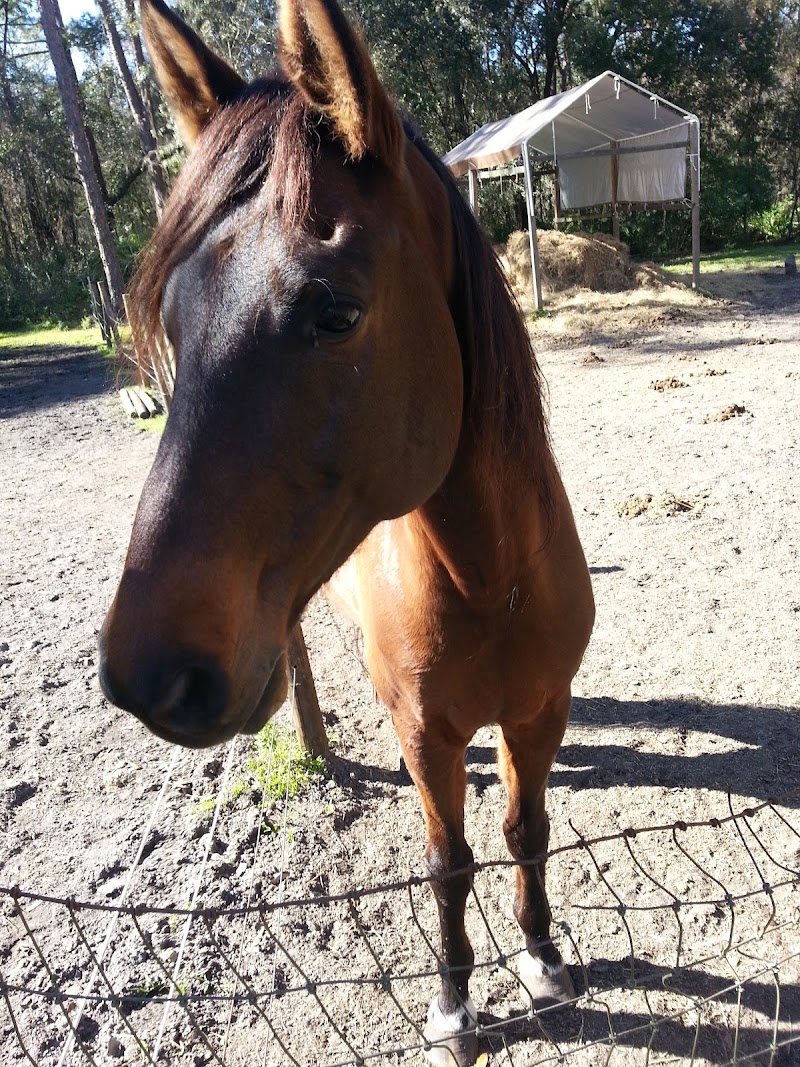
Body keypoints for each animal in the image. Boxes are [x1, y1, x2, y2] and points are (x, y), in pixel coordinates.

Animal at [98, 1, 595, 1062]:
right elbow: (448, 860)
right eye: (172, 321)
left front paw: (542, 955)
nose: (145, 674)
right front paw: (455, 1003)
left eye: (336, 311)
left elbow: (527, 831)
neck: (490, 582)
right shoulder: (426, 734)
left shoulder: (540, 712)